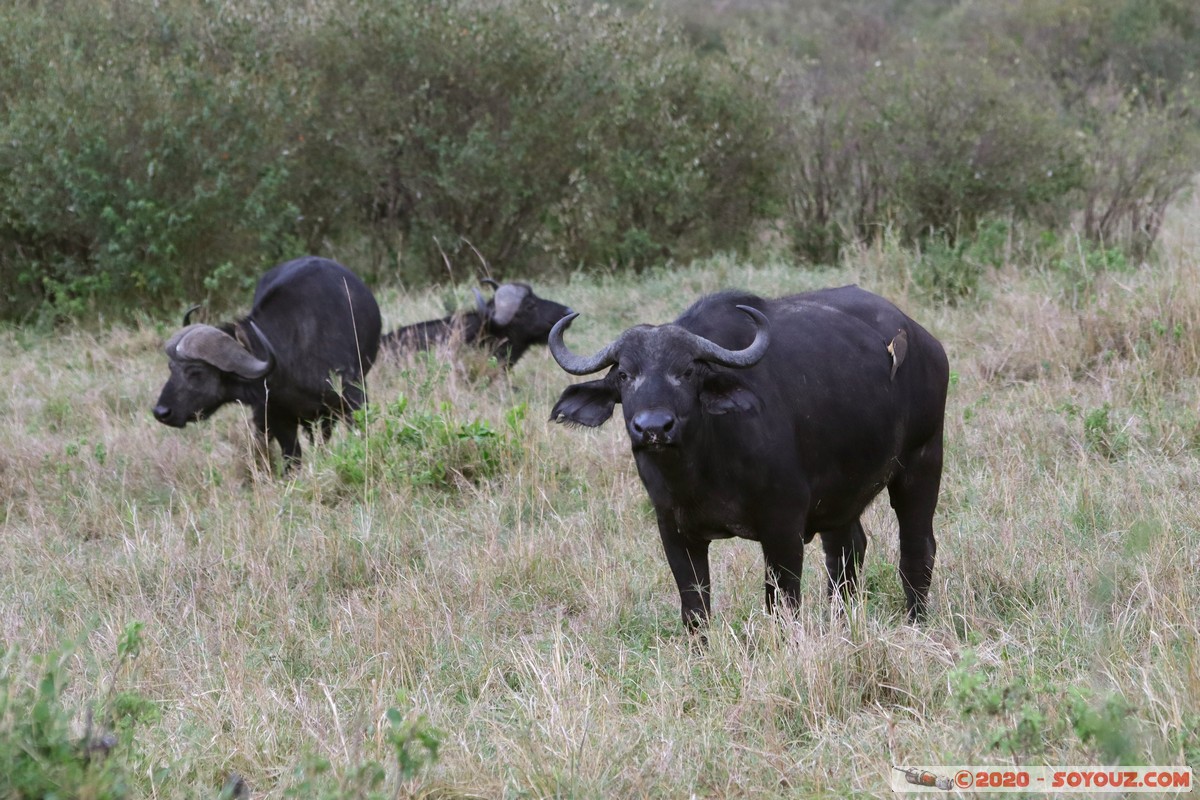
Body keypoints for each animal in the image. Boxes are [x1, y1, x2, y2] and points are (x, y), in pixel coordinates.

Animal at [152, 256, 381, 470]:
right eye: (171, 368)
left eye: (196, 372)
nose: (161, 412)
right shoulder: (275, 416)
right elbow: (292, 457)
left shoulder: (354, 401)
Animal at [549, 287, 950, 633]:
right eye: (624, 374)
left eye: (687, 371)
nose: (653, 428)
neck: (700, 470)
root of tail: (924, 342)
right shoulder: (674, 531)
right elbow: (695, 609)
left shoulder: (783, 528)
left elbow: (782, 603)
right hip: (842, 496)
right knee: (847, 552)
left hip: (922, 461)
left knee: (917, 548)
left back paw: (915, 620)